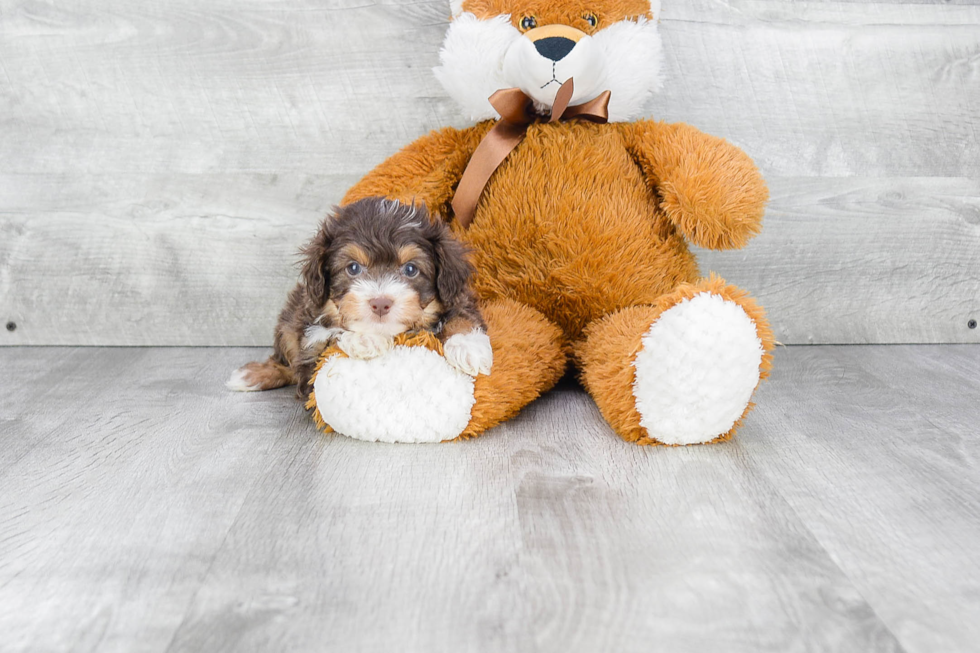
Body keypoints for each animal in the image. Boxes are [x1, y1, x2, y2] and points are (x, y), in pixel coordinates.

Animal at [228, 196, 490, 398]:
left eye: (410, 269)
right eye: (353, 268)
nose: (381, 303)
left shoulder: (459, 297)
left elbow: (462, 316)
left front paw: (468, 346)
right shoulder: (310, 350)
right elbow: (329, 336)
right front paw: (366, 339)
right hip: (289, 319)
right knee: (284, 361)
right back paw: (251, 375)